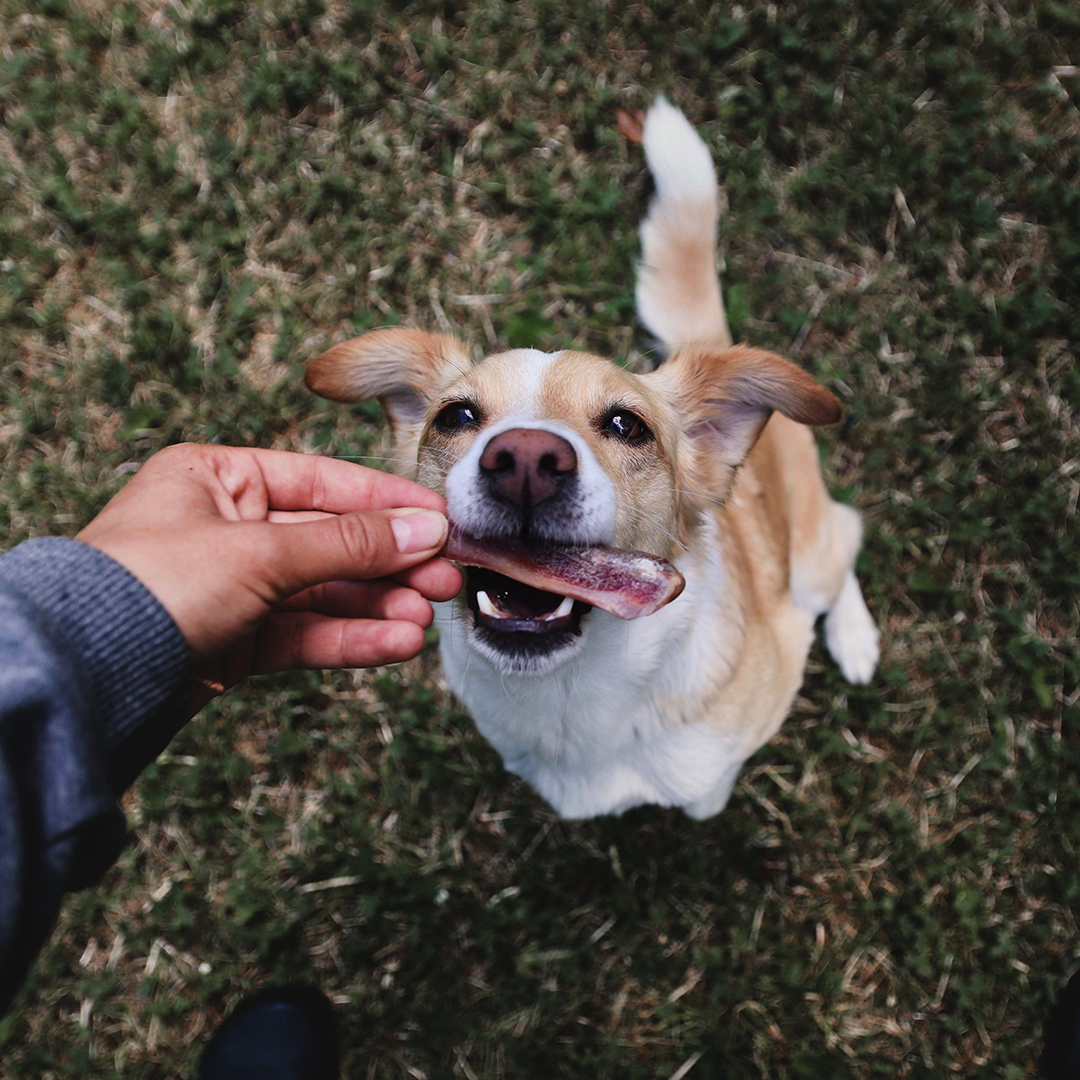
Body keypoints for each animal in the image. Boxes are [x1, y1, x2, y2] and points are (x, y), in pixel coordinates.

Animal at [304, 99, 876, 816]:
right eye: (456, 417)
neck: (570, 698)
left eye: (628, 425)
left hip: (812, 563)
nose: (524, 459)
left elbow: (706, 799)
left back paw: (856, 640)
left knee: (845, 538)